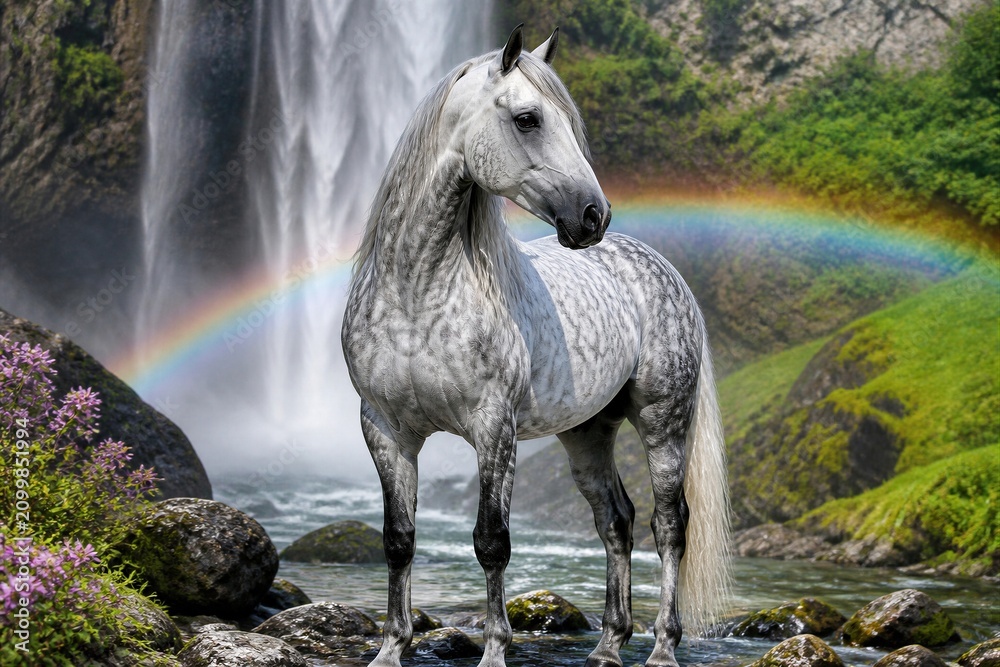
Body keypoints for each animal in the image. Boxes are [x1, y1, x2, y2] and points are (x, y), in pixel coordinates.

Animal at [342, 25, 731, 667]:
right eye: (527, 119)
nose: (593, 215)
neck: (417, 292)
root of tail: (663, 269)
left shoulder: (492, 427)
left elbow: (491, 541)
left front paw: (495, 650)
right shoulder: (385, 430)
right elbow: (398, 540)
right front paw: (391, 649)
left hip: (663, 422)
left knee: (669, 525)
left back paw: (662, 648)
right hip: (588, 433)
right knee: (616, 521)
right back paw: (608, 645)